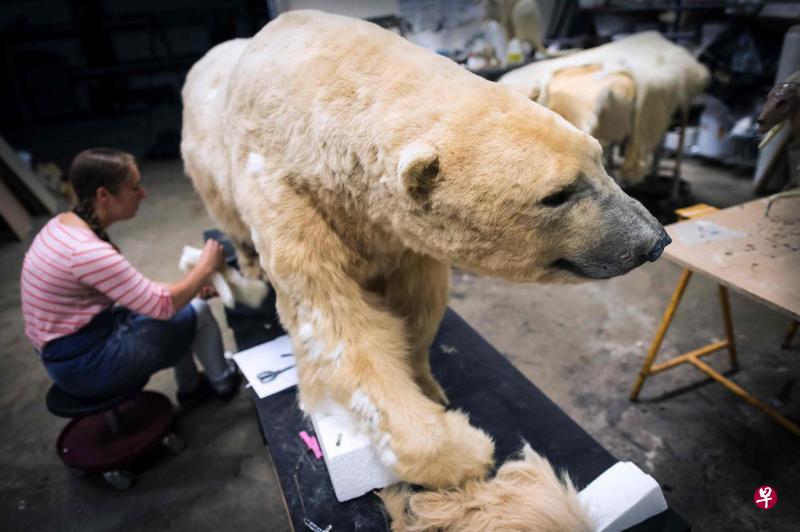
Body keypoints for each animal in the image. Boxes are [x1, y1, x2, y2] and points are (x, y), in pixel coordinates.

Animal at [181, 10, 670, 490]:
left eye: (599, 155)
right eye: (557, 194)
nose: (654, 240)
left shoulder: (399, 232)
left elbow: (417, 303)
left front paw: (429, 385)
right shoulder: (286, 191)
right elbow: (337, 327)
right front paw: (464, 449)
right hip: (208, 171)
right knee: (231, 220)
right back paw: (249, 268)